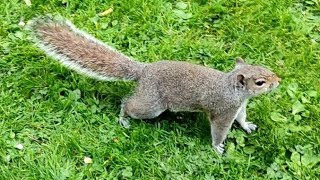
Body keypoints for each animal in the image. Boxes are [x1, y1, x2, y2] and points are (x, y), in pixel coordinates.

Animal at [25, 15, 280, 153]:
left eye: (265, 68)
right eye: (260, 82)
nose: (278, 81)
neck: (233, 89)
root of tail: (144, 71)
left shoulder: (239, 107)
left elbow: (242, 118)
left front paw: (247, 126)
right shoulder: (223, 111)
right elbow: (219, 131)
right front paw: (217, 148)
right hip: (151, 105)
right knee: (128, 103)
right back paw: (123, 117)